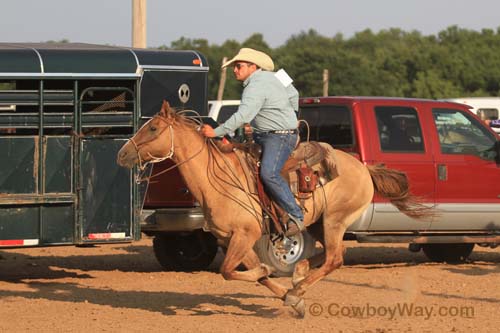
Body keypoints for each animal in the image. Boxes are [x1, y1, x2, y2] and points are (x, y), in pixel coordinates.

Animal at [116, 100, 430, 316]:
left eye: (153, 128)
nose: (122, 153)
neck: (217, 178)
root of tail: (364, 168)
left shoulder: (246, 234)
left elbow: (230, 271)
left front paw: (280, 283)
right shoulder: (231, 238)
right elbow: (251, 273)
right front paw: (289, 297)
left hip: (334, 221)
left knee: (335, 258)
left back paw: (299, 282)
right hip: (318, 223)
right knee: (331, 254)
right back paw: (299, 274)